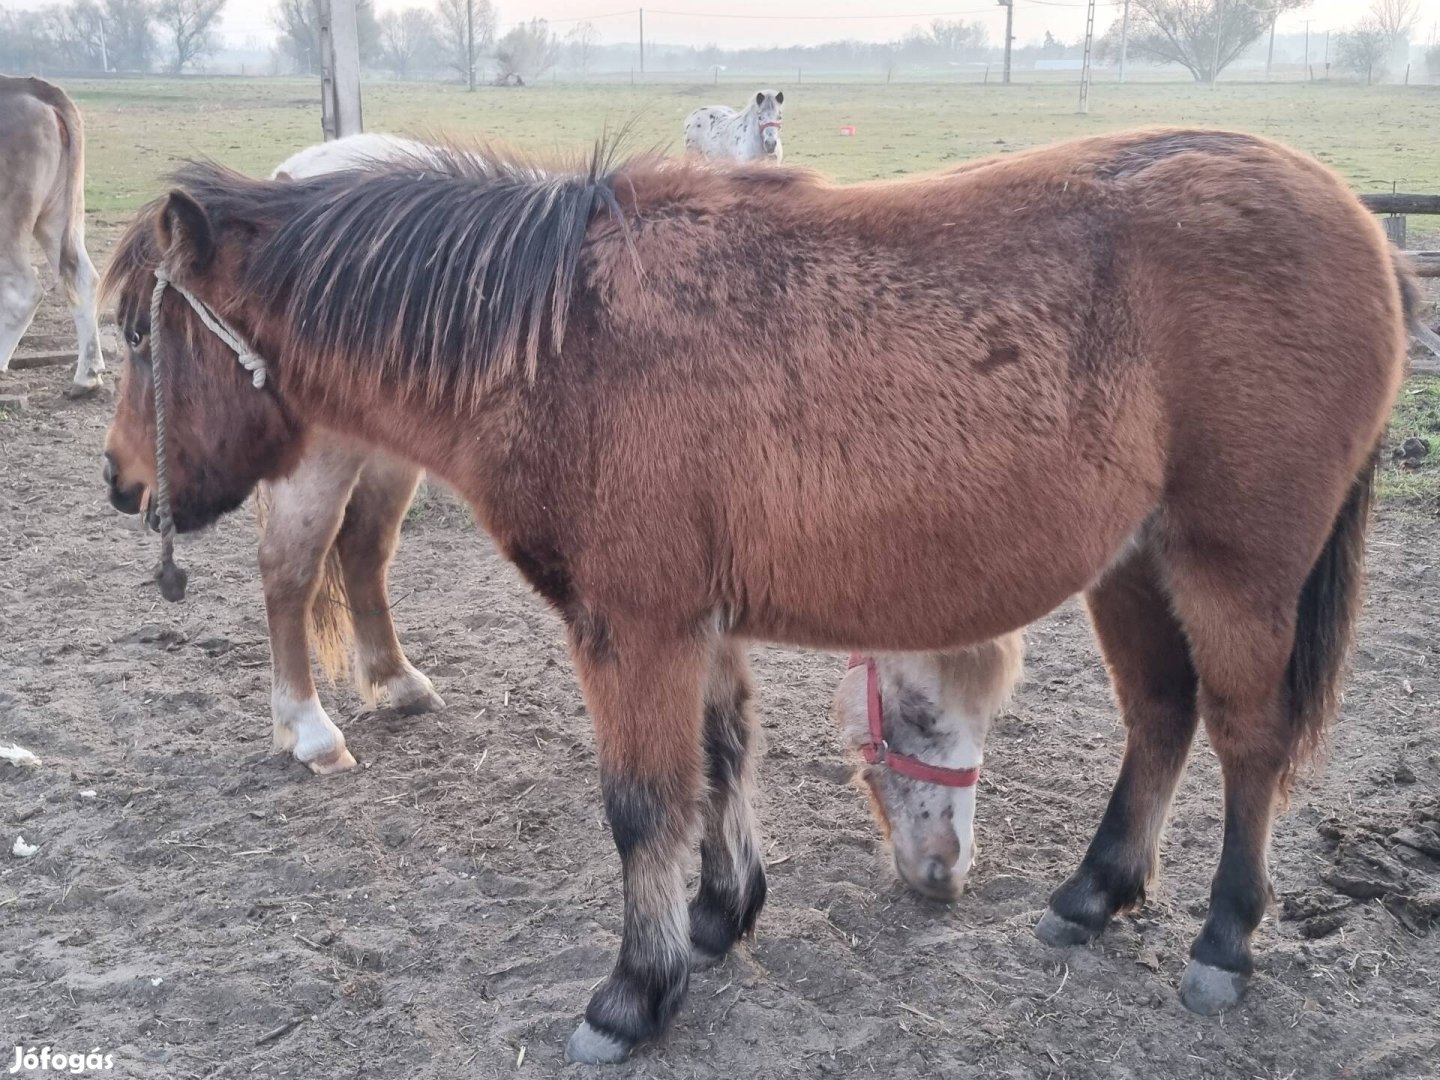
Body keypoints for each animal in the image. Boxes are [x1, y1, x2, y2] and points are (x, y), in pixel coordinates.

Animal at [104, 128, 1405, 1065]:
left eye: (135, 334)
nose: (123, 484)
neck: (560, 340)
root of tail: (1357, 221)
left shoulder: (631, 631)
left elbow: (643, 806)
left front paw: (635, 994)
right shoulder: (699, 626)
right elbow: (724, 760)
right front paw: (720, 918)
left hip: (1234, 568)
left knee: (1247, 740)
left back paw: (1225, 937)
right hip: (1133, 568)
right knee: (1161, 719)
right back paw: (1094, 893)